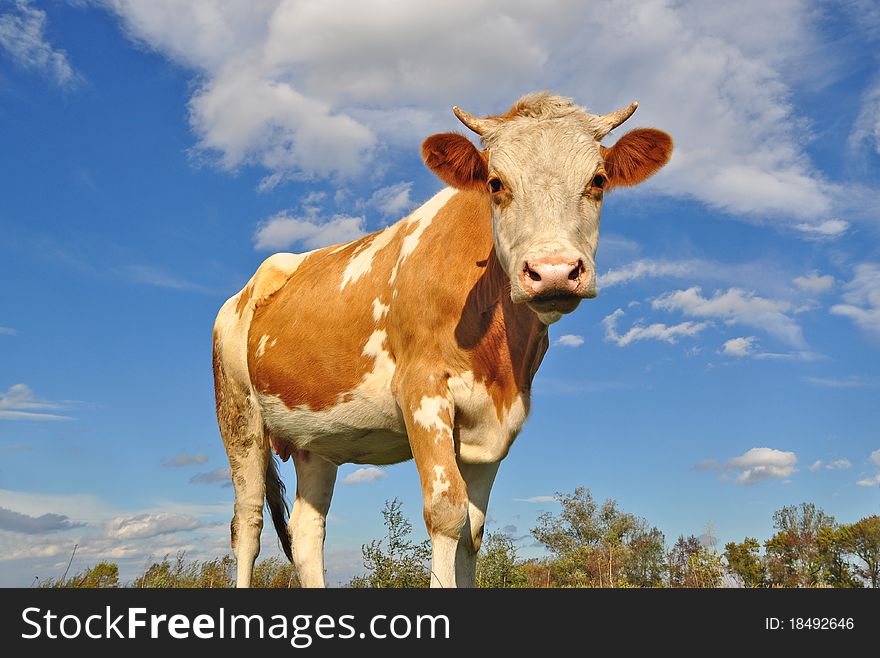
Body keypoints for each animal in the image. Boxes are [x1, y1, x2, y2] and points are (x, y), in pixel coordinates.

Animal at [215, 91, 672, 584]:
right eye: (495, 183)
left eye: (598, 180)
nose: (553, 271)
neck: (498, 353)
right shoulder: (423, 391)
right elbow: (447, 512)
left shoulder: (495, 422)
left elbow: (473, 532)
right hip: (239, 418)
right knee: (248, 526)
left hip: (315, 437)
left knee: (305, 531)